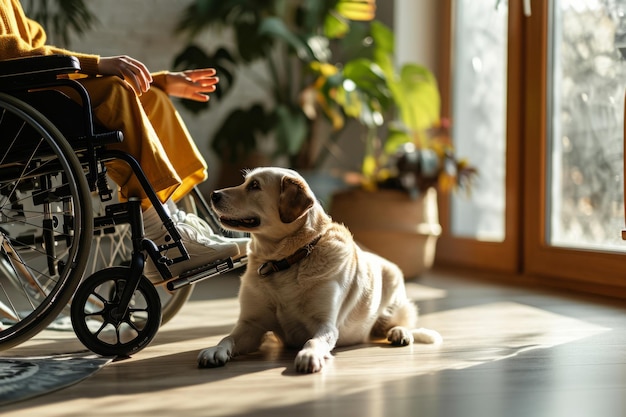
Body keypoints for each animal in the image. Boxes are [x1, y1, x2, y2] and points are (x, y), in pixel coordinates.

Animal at [197, 167, 442, 372]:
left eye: (255, 186)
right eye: (245, 181)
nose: (214, 195)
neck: (285, 260)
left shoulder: (325, 325)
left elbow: (313, 340)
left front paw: (309, 355)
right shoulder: (251, 324)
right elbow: (228, 337)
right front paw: (215, 350)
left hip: (394, 298)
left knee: (403, 323)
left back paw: (400, 333)